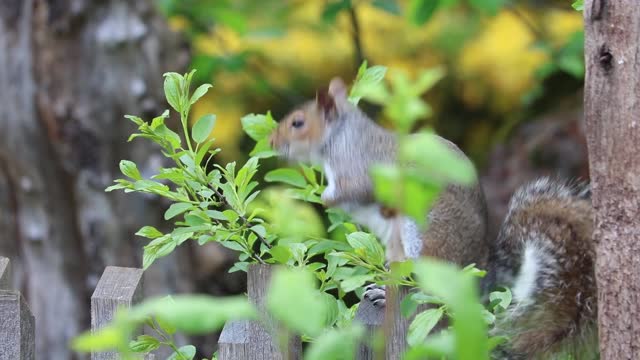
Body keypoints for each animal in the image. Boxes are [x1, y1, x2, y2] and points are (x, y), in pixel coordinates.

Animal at [268, 77, 596, 358]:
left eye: (297, 123)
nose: (271, 141)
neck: (340, 138)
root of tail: (481, 271)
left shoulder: (360, 169)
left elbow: (354, 191)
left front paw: (324, 199)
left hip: (425, 235)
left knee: (428, 291)